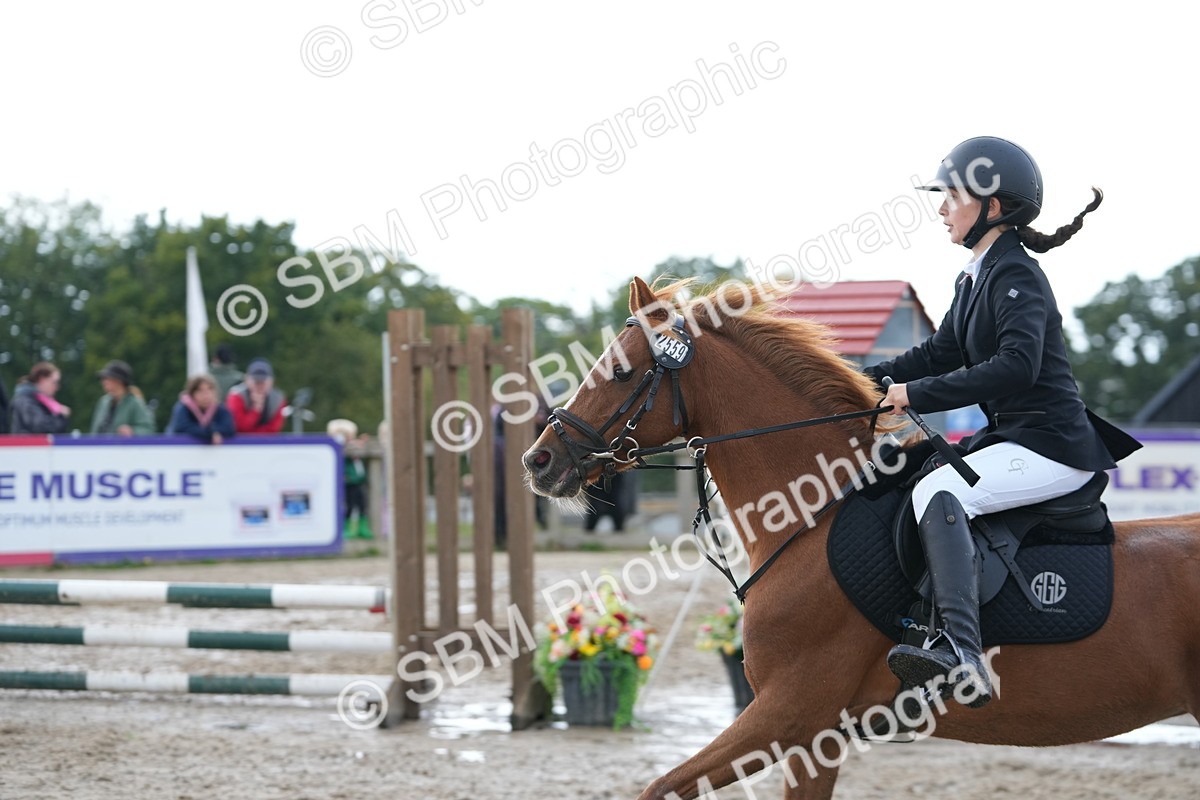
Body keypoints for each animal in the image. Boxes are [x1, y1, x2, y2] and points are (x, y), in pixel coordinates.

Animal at [522, 276, 1200, 800]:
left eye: (620, 372)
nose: (539, 460)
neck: (812, 516)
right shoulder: (813, 737)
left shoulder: (789, 713)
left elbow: (659, 786)